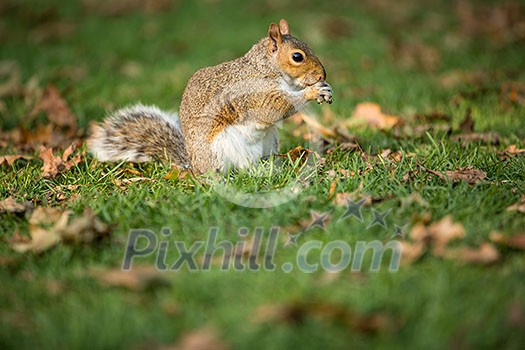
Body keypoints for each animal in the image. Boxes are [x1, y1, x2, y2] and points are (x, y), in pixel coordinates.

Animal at [86, 19, 332, 174]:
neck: (266, 68)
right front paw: (313, 91)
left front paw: (324, 88)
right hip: (222, 149)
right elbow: (275, 108)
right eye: (297, 57)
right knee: (236, 170)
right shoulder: (254, 94)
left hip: (269, 141)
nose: (322, 74)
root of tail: (194, 165)